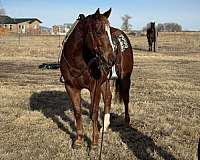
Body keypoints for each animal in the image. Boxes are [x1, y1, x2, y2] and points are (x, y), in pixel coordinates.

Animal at [60, 8, 134, 148]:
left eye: (108, 32)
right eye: (99, 32)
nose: (112, 59)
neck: (78, 61)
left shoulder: (94, 87)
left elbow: (93, 112)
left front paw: (94, 141)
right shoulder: (71, 87)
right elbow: (77, 112)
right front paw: (79, 140)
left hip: (125, 79)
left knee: (126, 99)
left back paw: (127, 123)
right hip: (105, 81)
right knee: (108, 98)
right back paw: (105, 126)